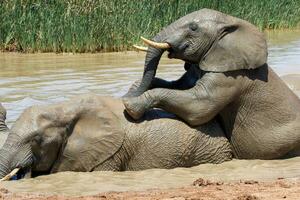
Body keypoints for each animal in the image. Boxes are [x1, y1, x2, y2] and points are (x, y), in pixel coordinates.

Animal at [122, 8, 300, 160]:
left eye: (193, 28)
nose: (126, 96)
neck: (230, 20)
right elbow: (179, 85)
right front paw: (131, 91)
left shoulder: (231, 76)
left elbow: (199, 107)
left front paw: (130, 105)